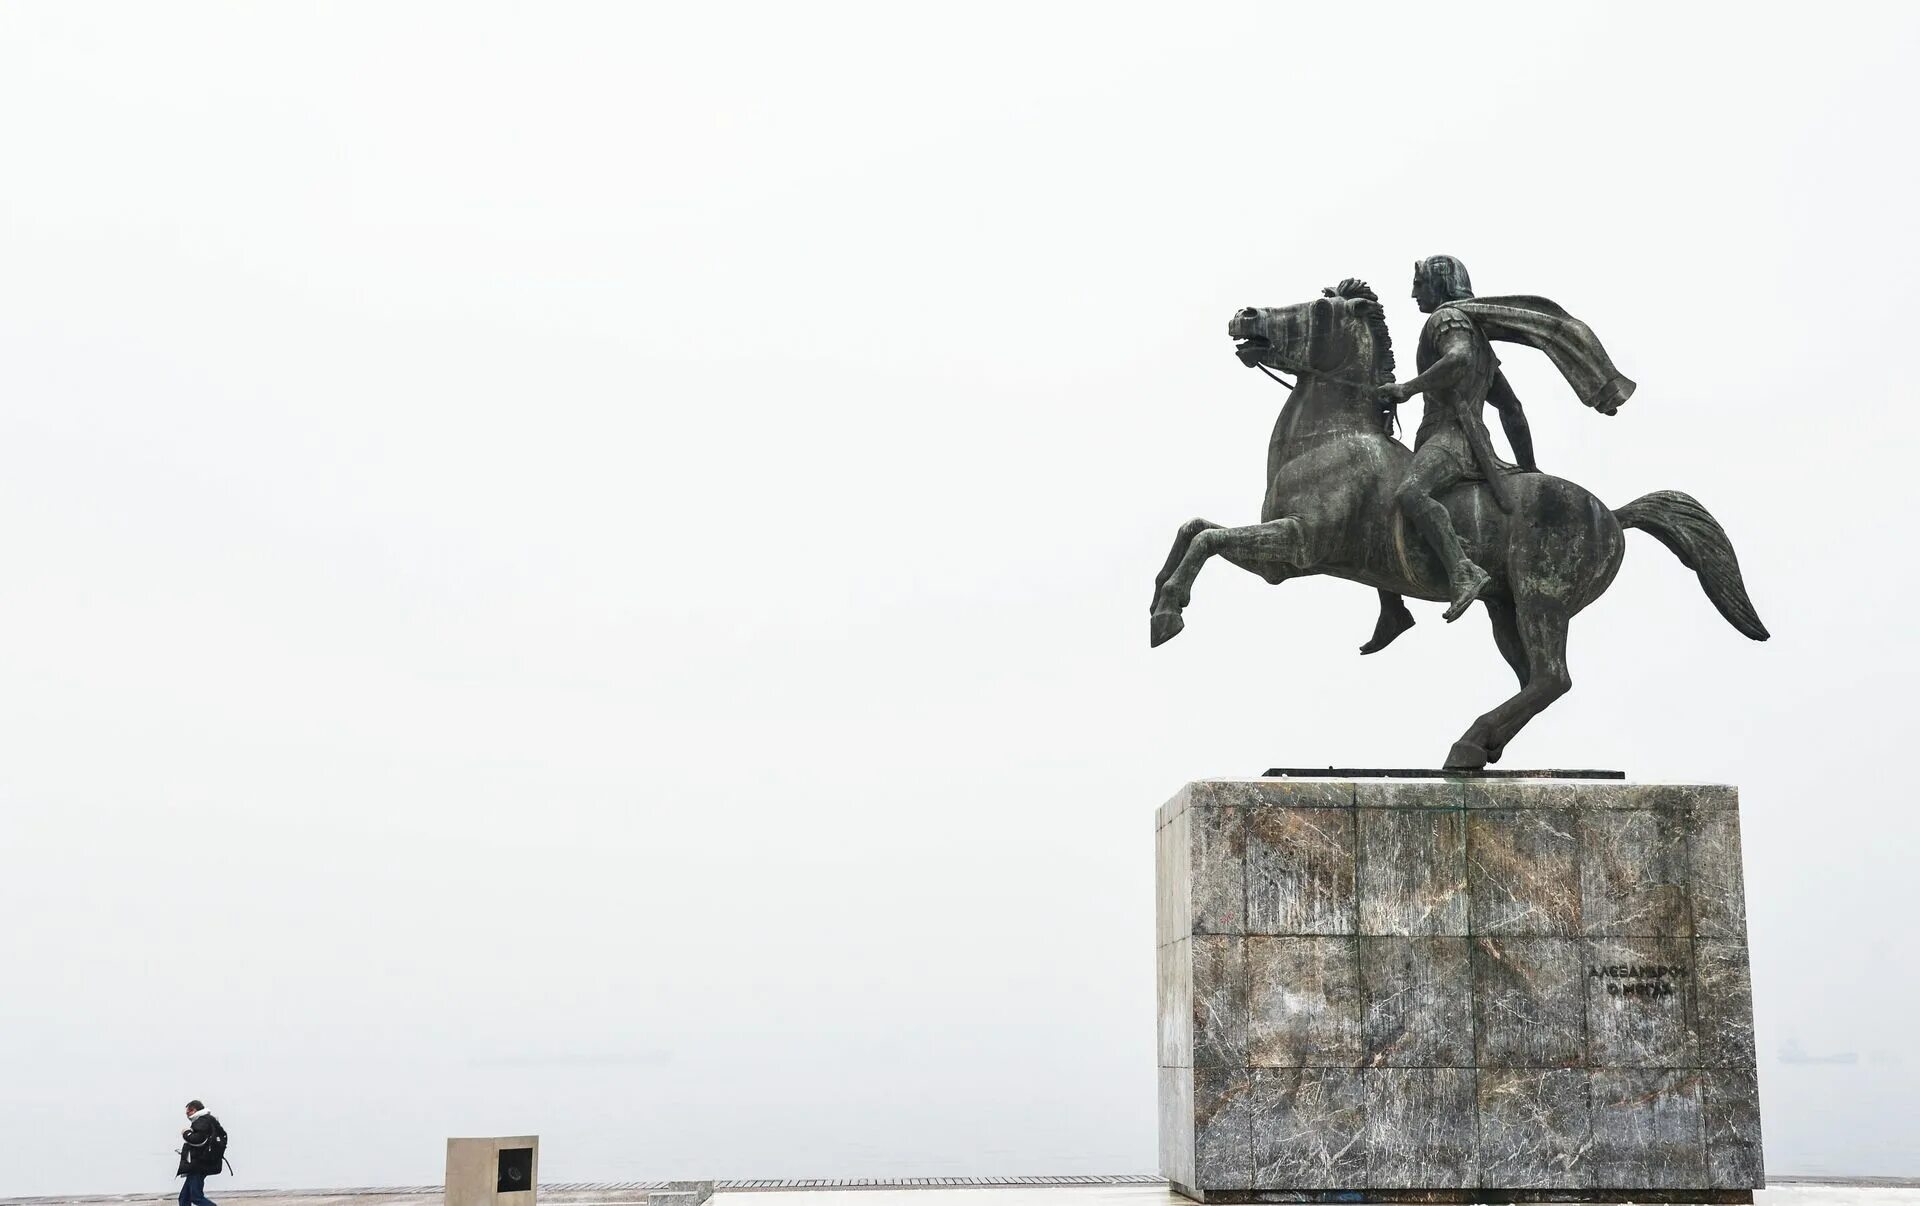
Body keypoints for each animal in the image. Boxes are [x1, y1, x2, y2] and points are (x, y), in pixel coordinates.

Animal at [1136, 278, 1766, 768]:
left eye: (1318, 307)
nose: (1245, 315)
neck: (1331, 438)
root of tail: (1612, 514)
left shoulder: (1295, 551)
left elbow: (1210, 539)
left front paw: (1168, 616)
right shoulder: (1282, 551)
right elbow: (1193, 526)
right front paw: (1157, 599)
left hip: (1541, 597)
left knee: (1552, 677)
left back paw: (1466, 744)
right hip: (1507, 608)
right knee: (1535, 680)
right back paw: (1479, 746)